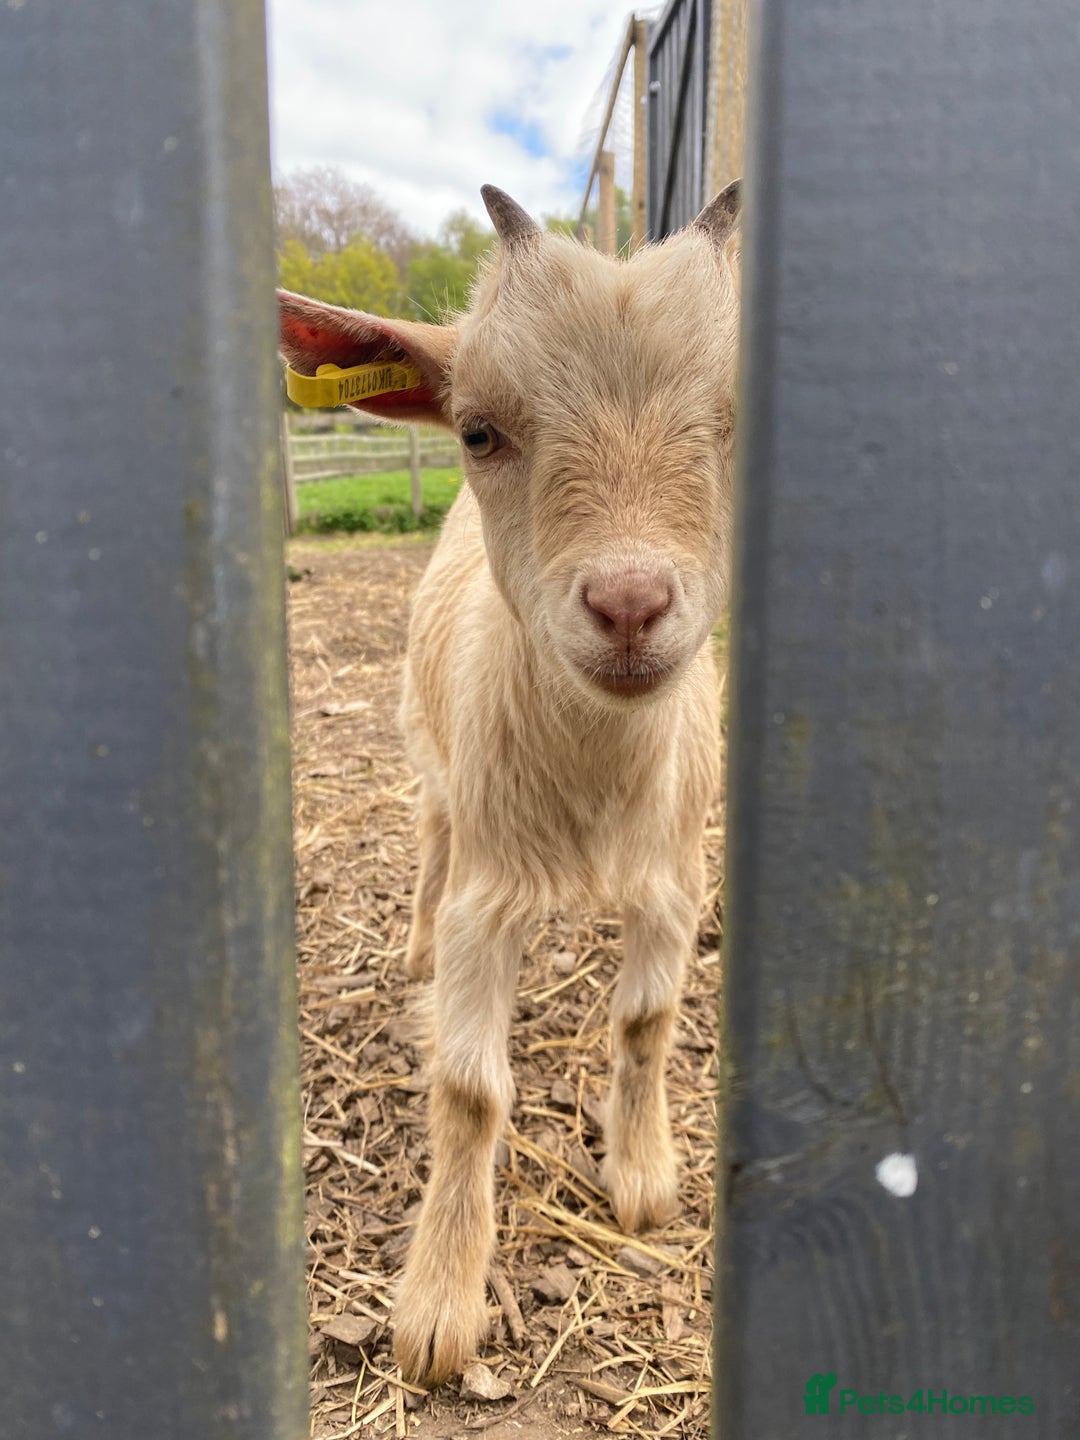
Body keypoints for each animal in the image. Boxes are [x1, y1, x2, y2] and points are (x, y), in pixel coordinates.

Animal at [277, 180, 741, 1386]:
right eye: (480, 431)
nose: (628, 604)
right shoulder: (490, 895)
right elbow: (470, 1090)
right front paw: (440, 1307)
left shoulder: (674, 883)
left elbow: (647, 1020)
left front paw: (642, 1180)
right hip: (432, 762)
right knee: (432, 843)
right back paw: (413, 946)